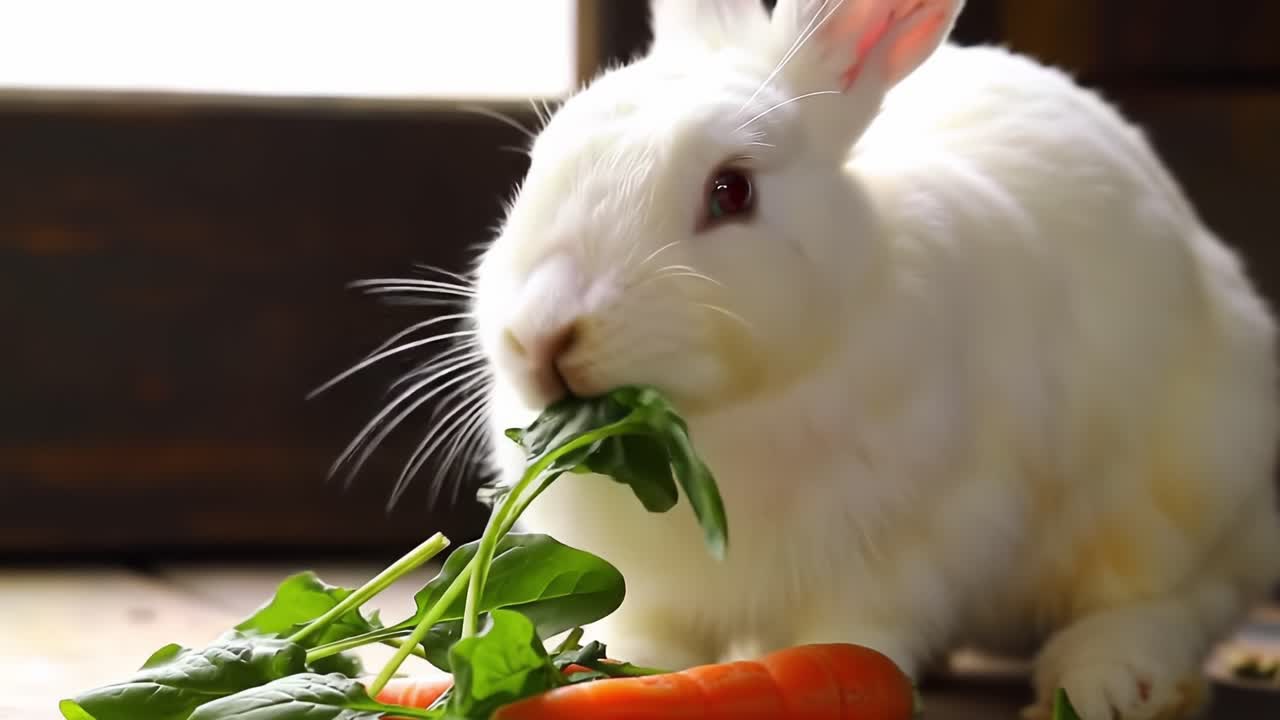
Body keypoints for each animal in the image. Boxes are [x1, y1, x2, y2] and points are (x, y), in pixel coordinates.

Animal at [464, 1, 1280, 718]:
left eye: (732, 191)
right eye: (539, 165)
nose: (543, 335)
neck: (724, 423)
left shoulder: (912, 546)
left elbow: (856, 636)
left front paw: (846, 674)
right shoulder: (653, 587)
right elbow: (648, 638)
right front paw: (613, 672)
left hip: (1187, 486)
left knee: (1173, 599)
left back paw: (1113, 681)